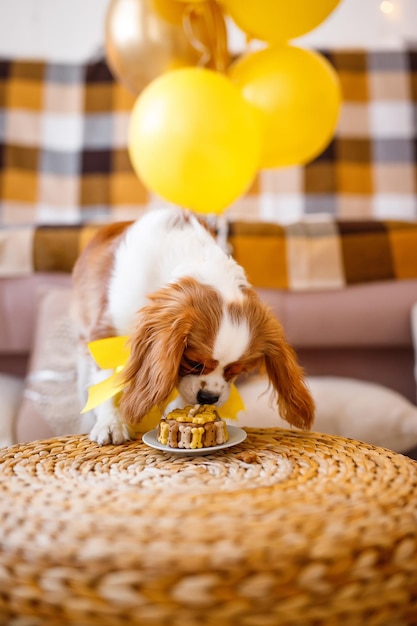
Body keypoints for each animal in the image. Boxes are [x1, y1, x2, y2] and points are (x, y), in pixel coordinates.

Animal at [71, 208, 314, 444]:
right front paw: (110, 423)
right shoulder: (104, 334)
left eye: (236, 371)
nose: (209, 398)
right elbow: (106, 384)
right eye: (192, 362)